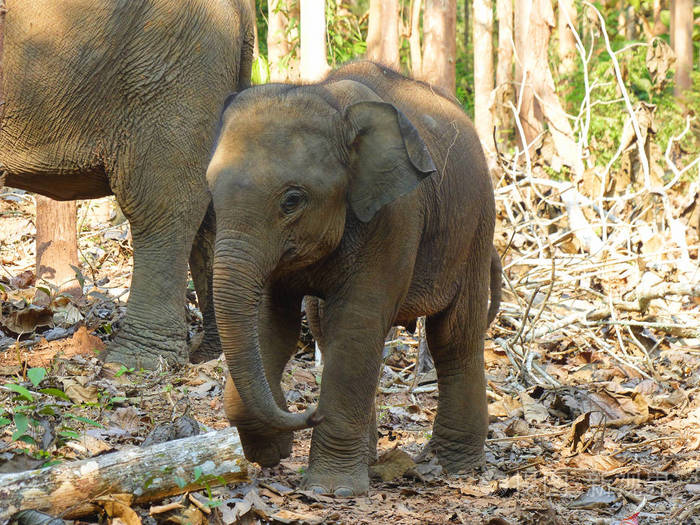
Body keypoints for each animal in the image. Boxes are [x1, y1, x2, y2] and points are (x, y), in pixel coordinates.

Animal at [206, 60, 498, 496]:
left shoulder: (396, 215)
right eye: (210, 191)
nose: (311, 412)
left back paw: (455, 467)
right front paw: (271, 452)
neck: (327, 100)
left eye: (292, 200)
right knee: (324, 327)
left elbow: (358, 320)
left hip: (476, 225)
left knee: (454, 338)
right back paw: (375, 461)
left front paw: (331, 489)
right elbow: (271, 322)